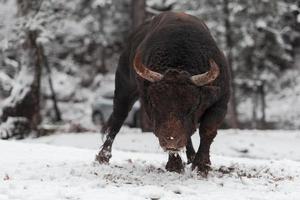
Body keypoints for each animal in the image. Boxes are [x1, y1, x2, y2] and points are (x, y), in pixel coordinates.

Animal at [96, 11, 230, 175]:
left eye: (192, 107)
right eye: (155, 104)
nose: (171, 140)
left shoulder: (221, 102)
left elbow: (207, 130)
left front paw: (201, 165)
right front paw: (175, 166)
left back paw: (191, 157)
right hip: (124, 89)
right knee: (118, 119)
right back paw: (103, 156)